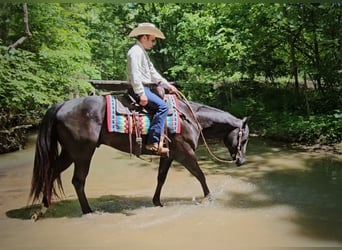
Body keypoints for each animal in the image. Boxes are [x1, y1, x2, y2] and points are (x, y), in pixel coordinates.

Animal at [30, 94, 248, 216]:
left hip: (70, 153)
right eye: (244, 139)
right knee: (78, 181)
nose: (242, 161)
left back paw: (42, 208)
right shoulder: (185, 153)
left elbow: (161, 178)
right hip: (83, 153)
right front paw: (209, 198)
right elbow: (200, 175)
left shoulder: (169, 155)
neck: (190, 118)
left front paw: (157, 202)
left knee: (51, 172)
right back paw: (87, 211)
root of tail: (61, 105)